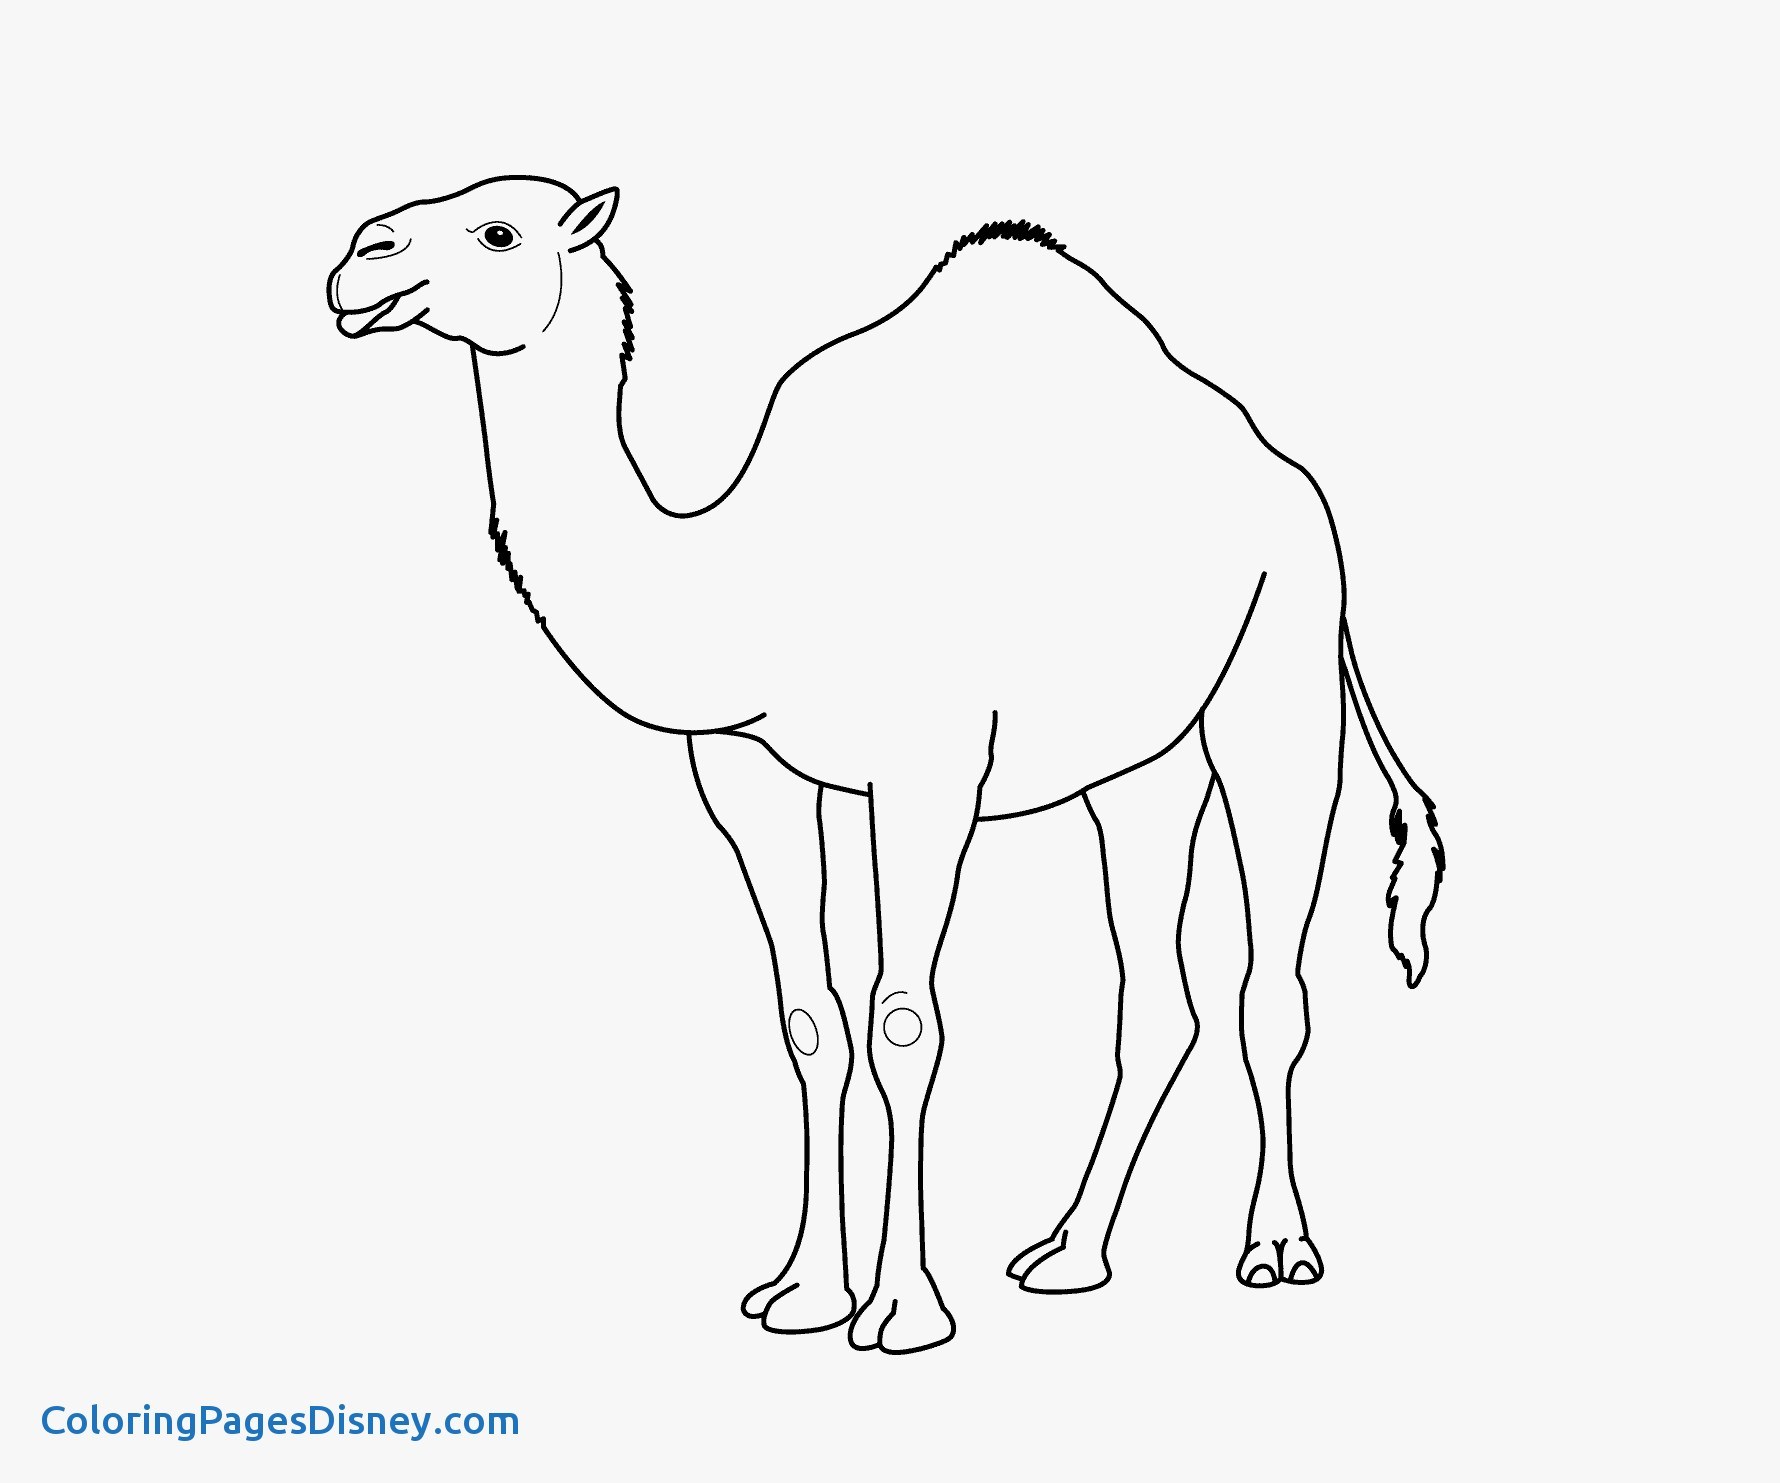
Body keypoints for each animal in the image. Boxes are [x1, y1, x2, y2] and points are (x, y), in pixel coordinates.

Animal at [325, 175, 1445, 1355]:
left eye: (499, 230)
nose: (360, 260)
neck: (751, 581)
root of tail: (1292, 480)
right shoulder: (756, 782)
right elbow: (814, 1022)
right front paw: (804, 1291)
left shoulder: (929, 775)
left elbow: (906, 1021)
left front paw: (904, 1307)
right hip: (1137, 767)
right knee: (1156, 998)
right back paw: (1066, 1253)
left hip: (1279, 671)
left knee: (1272, 986)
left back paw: (1275, 1247)